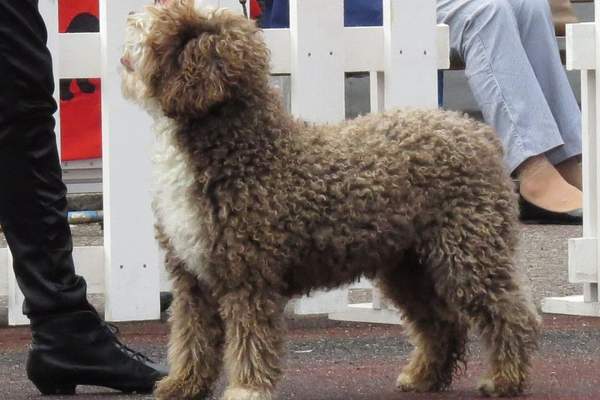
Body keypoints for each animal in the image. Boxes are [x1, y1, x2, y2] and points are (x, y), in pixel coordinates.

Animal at [120, 1, 540, 398]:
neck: (247, 150)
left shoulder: (248, 276)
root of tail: (478, 131)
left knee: (511, 314)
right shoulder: (192, 279)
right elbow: (192, 338)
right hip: (408, 264)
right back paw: (423, 376)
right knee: (442, 321)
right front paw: (182, 385)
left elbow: (250, 338)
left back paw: (504, 378)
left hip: (468, 250)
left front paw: (247, 387)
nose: (131, 18)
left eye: (175, 25)